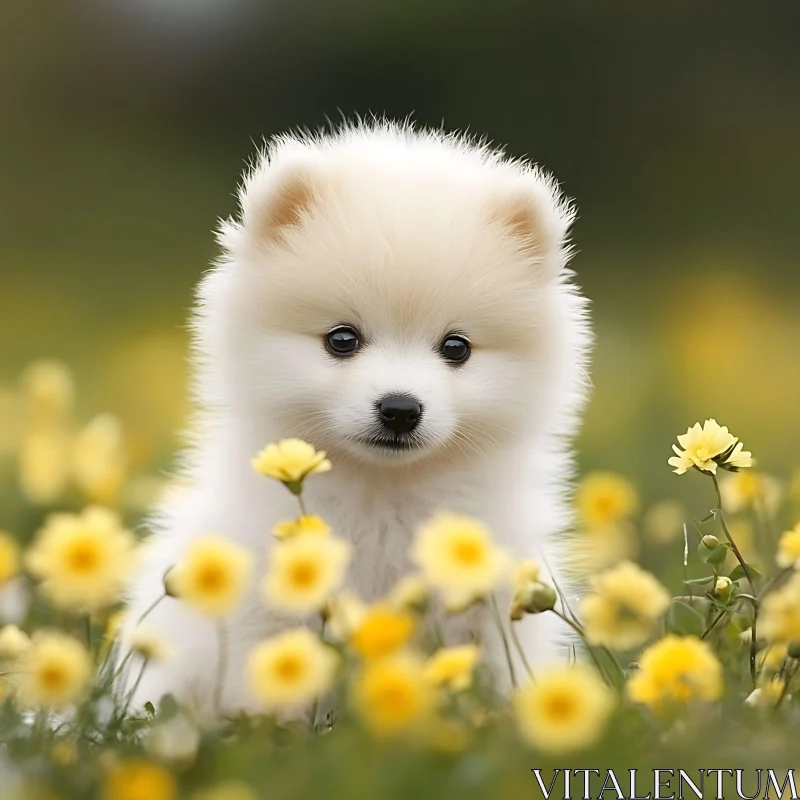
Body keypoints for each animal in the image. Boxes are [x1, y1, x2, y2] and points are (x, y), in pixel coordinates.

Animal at [120, 120, 592, 720]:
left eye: (456, 347)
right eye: (342, 339)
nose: (400, 408)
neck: (381, 496)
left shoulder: (491, 611)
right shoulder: (264, 614)